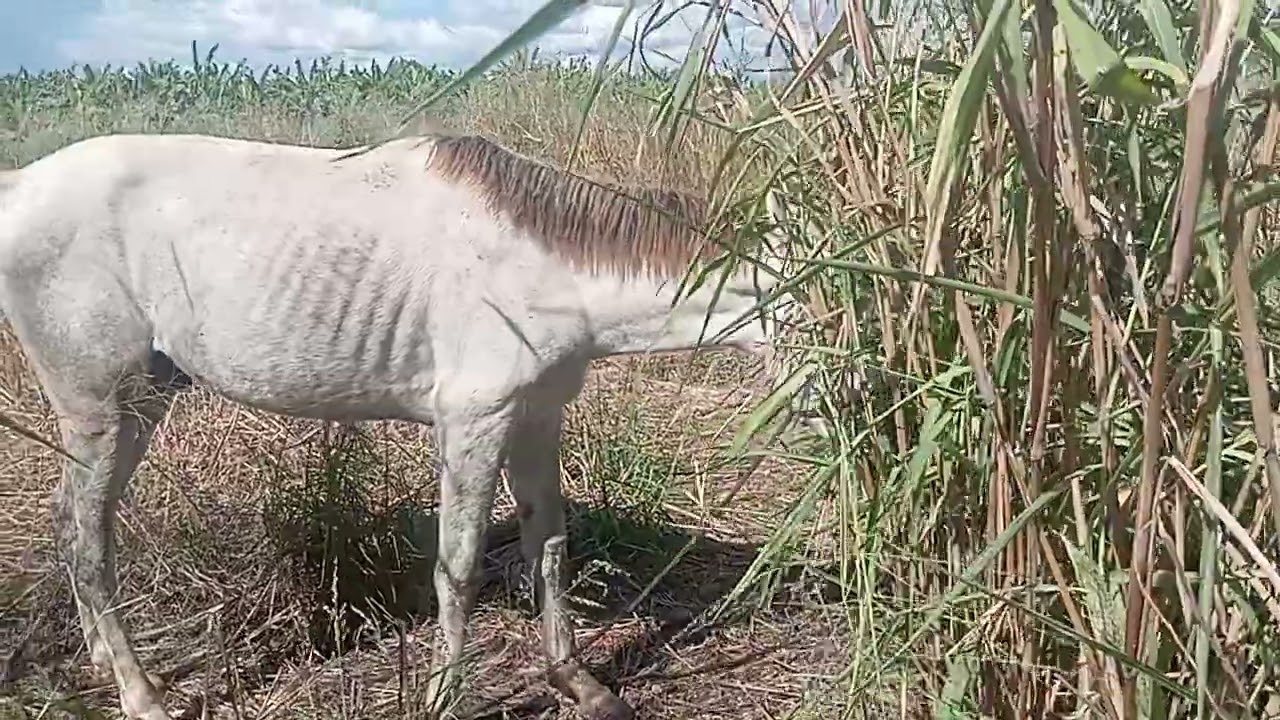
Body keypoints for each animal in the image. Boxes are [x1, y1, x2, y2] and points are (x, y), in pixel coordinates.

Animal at [0, 130, 790, 720]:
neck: (545, 268)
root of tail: (17, 186)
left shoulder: (538, 416)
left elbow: (549, 546)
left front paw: (580, 684)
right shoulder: (474, 421)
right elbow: (458, 566)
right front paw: (443, 698)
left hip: (140, 401)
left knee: (78, 527)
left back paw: (105, 660)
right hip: (100, 407)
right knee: (84, 539)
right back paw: (141, 696)